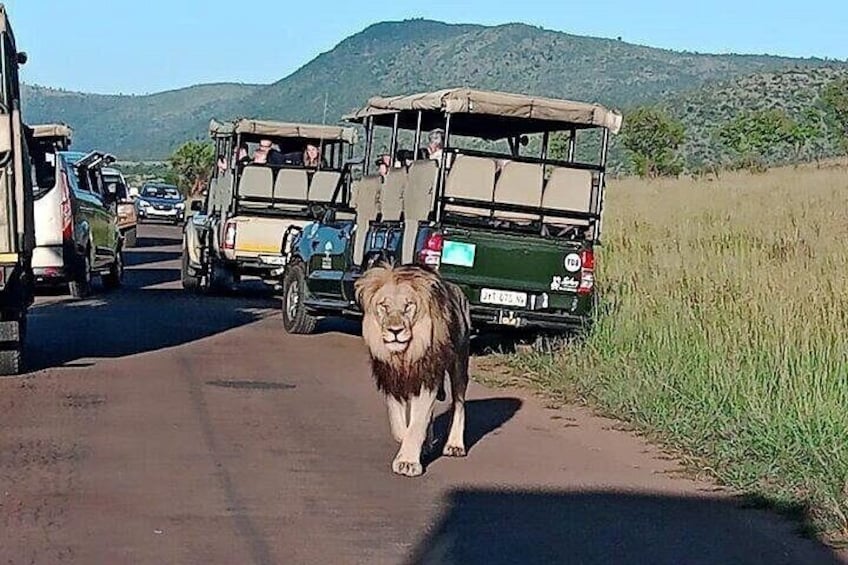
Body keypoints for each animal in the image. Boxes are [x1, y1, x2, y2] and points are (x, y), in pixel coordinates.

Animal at [354, 262, 471, 477]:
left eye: (408, 306)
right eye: (384, 306)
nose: (395, 331)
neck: (404, 354)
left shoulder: (427, 379)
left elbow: (417, 424)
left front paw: (408, 462)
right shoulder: (391, 380)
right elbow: (400, 425)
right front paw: (412, 444)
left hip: (459, 363)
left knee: (459, 404)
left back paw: (454, 445)